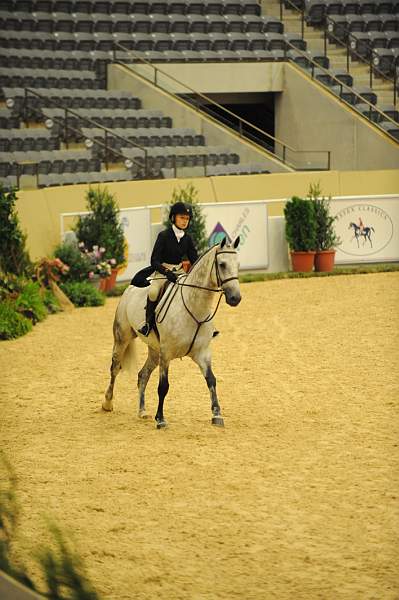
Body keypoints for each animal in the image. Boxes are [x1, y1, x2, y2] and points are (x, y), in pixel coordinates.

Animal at [103, 237, 241, 428]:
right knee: (115, 368)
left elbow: (211, 380)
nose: (236, 298)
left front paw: (217, 415)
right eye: (222, 264)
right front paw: (160, 419)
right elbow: (163, 386)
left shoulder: (202, 353)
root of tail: (129, 289)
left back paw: (142, 411)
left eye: (238, 264)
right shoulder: (166, 353)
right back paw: (108, 403)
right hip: (122, 338)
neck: (193, 307)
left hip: (154, 351)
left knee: (143, 375)